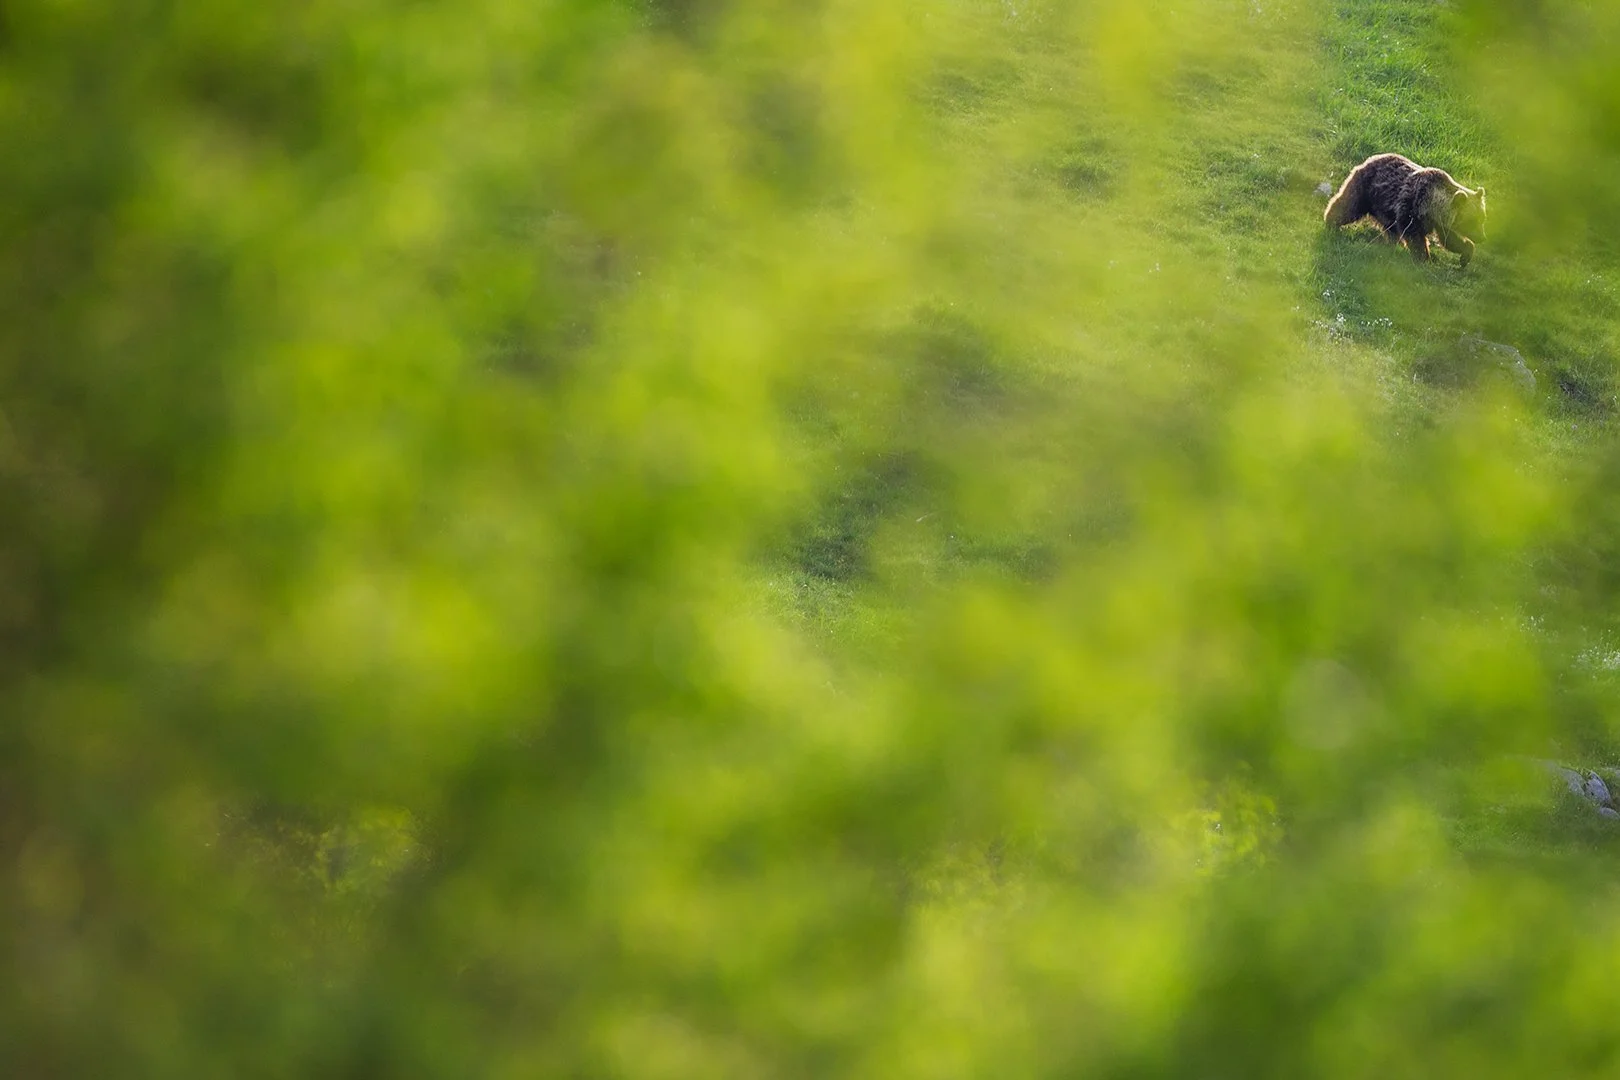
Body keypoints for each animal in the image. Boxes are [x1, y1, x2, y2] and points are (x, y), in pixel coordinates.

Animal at [1324, 153, 1487, 267]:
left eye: (1482, 218)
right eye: (1471, 220)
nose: (1482, 237)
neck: (1432, 207)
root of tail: (1370, 158)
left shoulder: (1441, 223)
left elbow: (1451, 240)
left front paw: (1465, 255)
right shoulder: (1411, 208)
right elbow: (1414, 236)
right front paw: (1424, 258)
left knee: (1390, 229)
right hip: (1366, 189)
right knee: (1349, 206)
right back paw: (1330, 222)